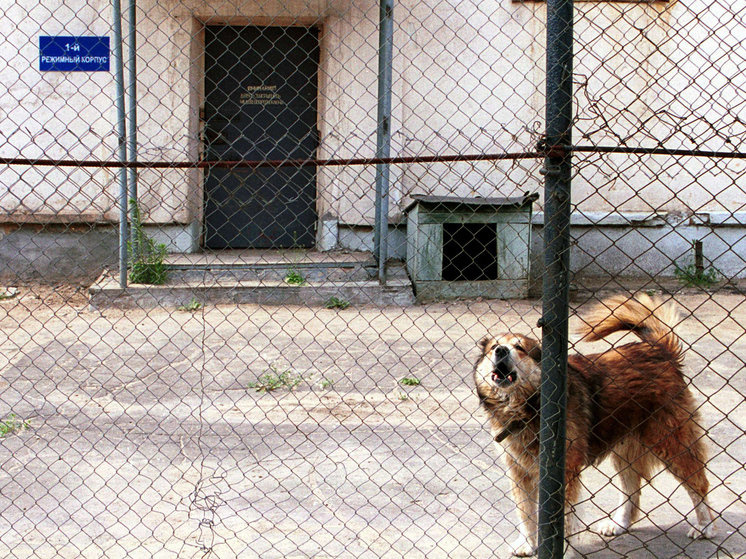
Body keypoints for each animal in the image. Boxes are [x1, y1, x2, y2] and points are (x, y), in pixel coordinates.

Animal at [470, 296, 716, 556]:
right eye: (493, 347)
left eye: (520, 348)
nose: (501, 351)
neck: (528, 406)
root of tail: (660, 350)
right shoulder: (519, 471)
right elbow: (526, 513)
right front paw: (528, 543)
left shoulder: (564, 471)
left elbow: (564, 520)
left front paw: (562, 550)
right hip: (625, 450)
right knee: (631, 490)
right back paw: (619, 524)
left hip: (672, 443)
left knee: (699, 484)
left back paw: (705, 526)